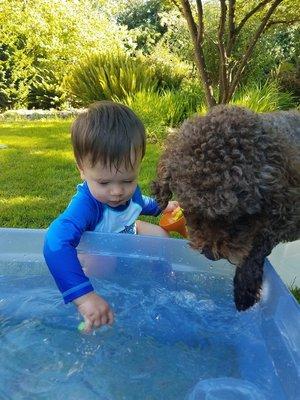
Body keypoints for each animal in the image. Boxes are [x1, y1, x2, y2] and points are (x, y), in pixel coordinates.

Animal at [154, 105, 298, 310]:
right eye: (191, 211)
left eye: (238, 218)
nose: (209, 255)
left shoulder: (281, 219)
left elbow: (258, 245)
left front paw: (245, 287)